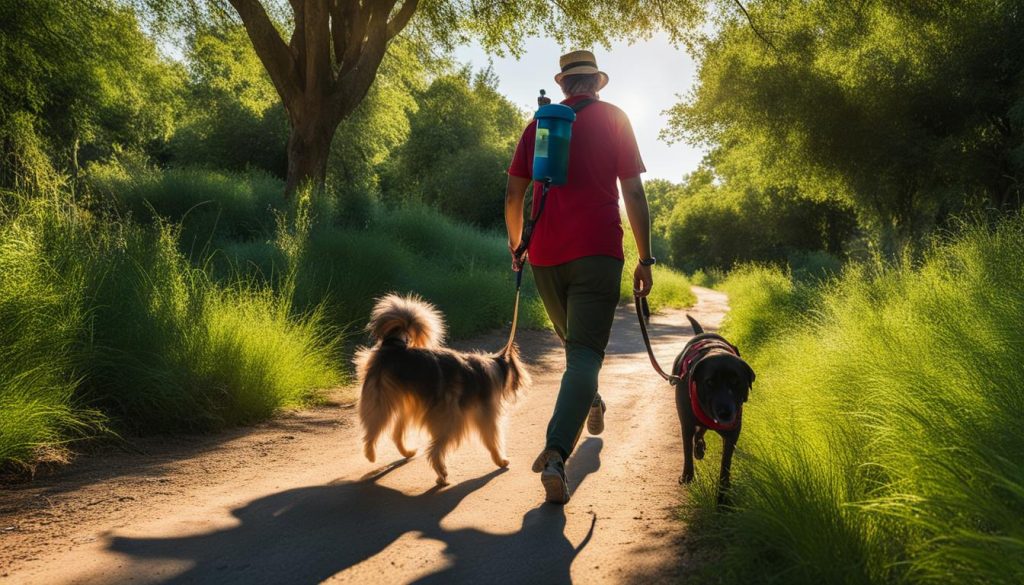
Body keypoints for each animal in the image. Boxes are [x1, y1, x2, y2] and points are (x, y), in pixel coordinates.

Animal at [354, 295, 532, 487]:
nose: (524, 385)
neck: (495, 367)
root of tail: (394, 346)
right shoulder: (487, 416)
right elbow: (492, 440)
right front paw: (500, 460)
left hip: (409, 402)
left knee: (395, 433)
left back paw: (407, 453)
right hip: (444, 417)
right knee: (425, 447)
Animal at [675, 315, 757, 504]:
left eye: (736, 382)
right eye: (710, 382)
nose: (725, 412)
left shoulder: (733, 431)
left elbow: (725, 464)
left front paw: (723, 497)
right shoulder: (686, 422)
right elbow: (686, 449)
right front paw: (687, 476)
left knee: (702, 430)